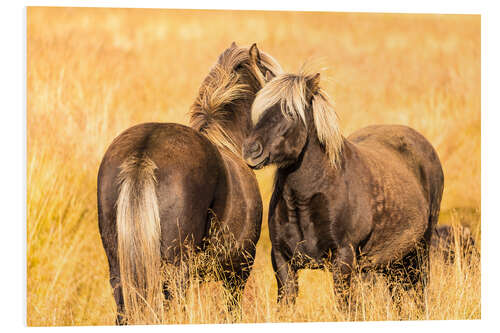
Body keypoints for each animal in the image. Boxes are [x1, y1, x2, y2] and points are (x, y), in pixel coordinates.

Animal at [244, 70, 444, 306]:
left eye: (291, 113)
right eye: (260, 111)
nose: (251, 150)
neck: (304, 200)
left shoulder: (343, 258)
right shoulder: (282, 261)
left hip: (420, 251)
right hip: (392, 261)